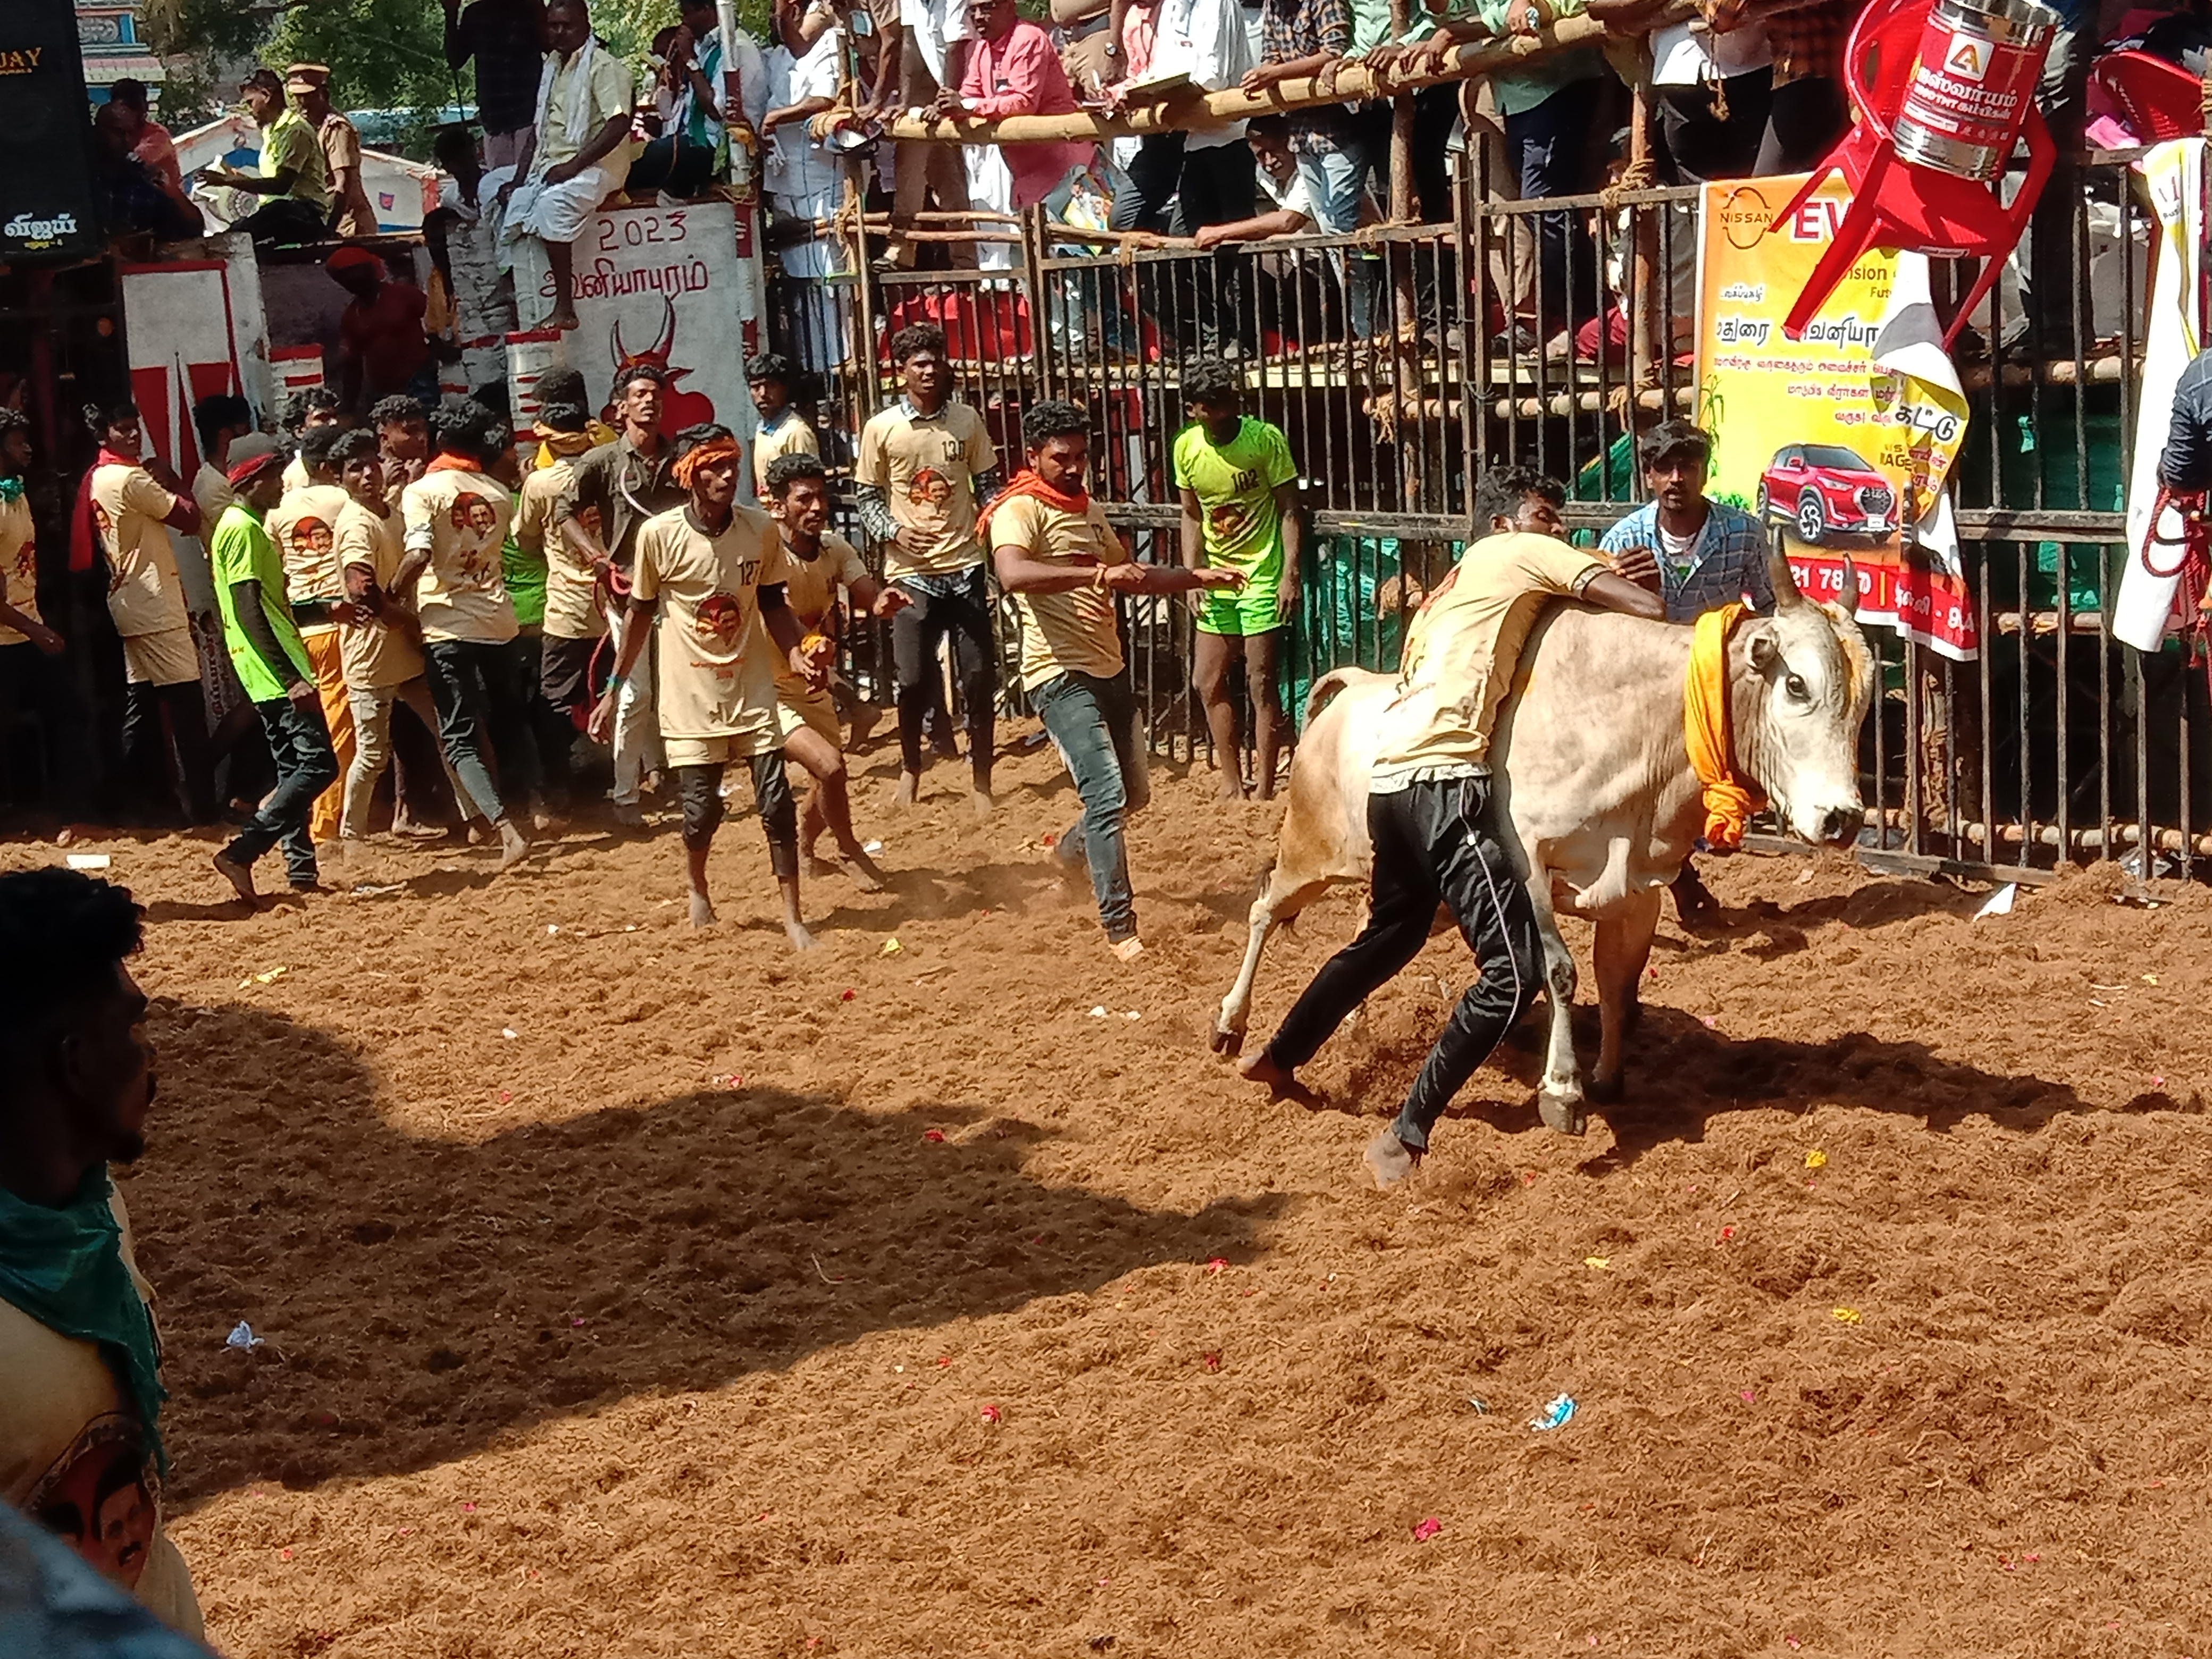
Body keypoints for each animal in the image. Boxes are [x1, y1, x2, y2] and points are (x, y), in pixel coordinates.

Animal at [1212, 553, 1867, 1141]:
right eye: (1796, 684)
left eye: (1861, 705)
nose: (1844, 818)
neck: (1633, 732)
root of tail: (1351, 689)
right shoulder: (1526, 865)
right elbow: (1558, 970)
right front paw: (1562, 1089)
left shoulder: (1640, 891)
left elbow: (1617, 981)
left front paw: (1606, 1078)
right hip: (1308, 851)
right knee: (1265, 909)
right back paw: (1233, 1028)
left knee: (1362, 943)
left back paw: (1346, 1029)